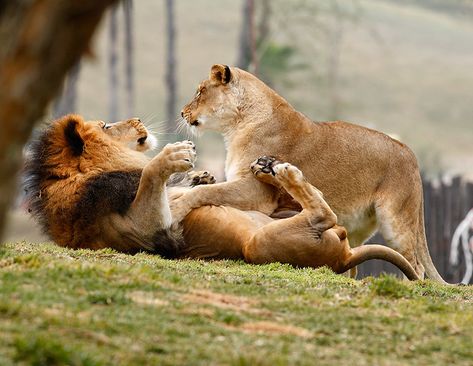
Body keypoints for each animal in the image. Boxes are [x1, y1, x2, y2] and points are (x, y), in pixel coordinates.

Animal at [24, 113, 418, 278]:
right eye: (106, 125)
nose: (135, 119)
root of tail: (345, 258)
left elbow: (182, 187)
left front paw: (198, 175)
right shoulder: (143, 230)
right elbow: (152, 178)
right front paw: (173, 155)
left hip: (278, 215)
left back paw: (269, 167)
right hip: (259, 245)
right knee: (324, 214)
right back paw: (285, 173)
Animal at [174, 64, 442, 282]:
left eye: (200, 92)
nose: (182, 112)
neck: (237, 124)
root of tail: (411, 154)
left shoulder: (255, 191)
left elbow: (207, 192)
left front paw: (176, 208)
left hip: (396, 222)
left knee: (416, 266)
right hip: (358, 228)